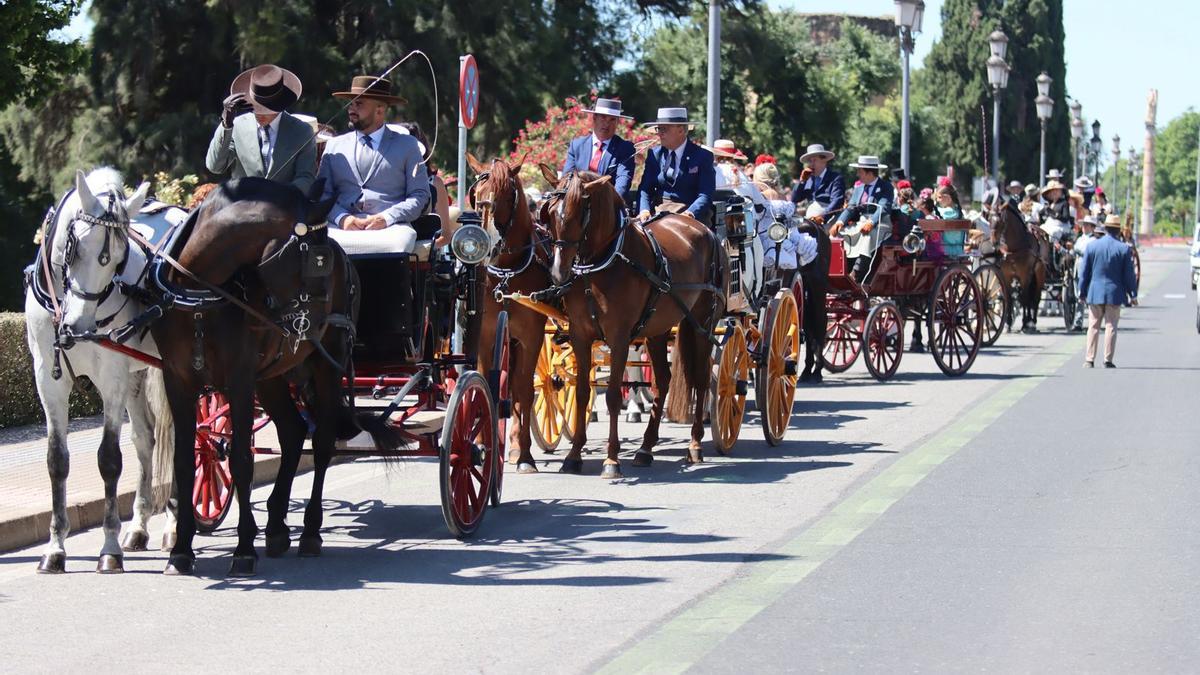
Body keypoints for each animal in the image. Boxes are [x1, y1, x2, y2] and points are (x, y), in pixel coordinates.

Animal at [25, 165, 175, 569]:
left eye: (120, 256)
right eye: (73, 246)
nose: (77, 326)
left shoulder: (112, 379)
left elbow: (109, 459)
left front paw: (109, 548)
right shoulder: (47, 379)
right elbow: (56, 460)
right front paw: (55, 547)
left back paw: (173, 526)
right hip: (138, 377)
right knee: (146, 441)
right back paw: (139, 527)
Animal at [152, 174, 396, 571]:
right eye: (317, 259)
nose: (318, 323)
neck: (197, 291)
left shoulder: (238, 379)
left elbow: (241, 459)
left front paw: (243, 549)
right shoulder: (177, 378)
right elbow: (185, 460)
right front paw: (182, 550)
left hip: (325, 367)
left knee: (323, 443)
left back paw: (309, 531)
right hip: (272, 377)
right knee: (294, 431)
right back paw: (278, 526)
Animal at [468, 154, 552, 475]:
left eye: (507, 195)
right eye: (477, 197)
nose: (489, 244)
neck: (506, 272)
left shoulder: (532, 336)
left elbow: (525, 390)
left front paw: (526, 455)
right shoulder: (486, 334)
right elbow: (483, 384)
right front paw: (480, 443)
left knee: (518, 386)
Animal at [540, 164, 724, 475]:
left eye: (580, 212)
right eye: (551, 212)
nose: (557, 272)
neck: (602, 263)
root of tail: (702, 228)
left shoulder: (619, 336)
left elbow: (614, 395)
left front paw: (612, 460)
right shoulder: (580, 334)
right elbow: (581, 392)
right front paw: (574, 455)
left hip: (702, 322)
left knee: (700, 379)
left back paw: (695, 444)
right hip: (658, 328)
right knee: (664, 380)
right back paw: (646, 448)